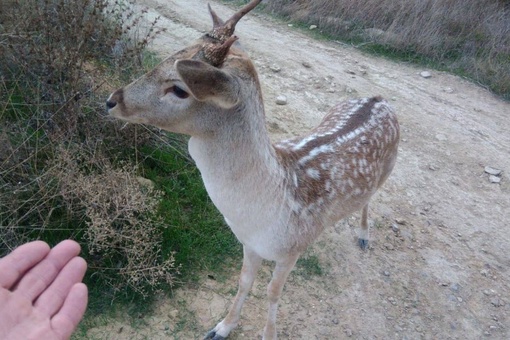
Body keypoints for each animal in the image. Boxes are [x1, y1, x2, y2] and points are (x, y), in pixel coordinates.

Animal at [106, 1, 398, 338]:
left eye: (180, 89)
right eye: (170, 55)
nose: (112, 100)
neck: (265, 212)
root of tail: (380, 98)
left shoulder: (293, 249)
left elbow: (273, 292)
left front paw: (268, 333)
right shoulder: (249, 243)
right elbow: (244, 281)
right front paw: (221, 327)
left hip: (389, 169)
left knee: (370, 198)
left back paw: (364, 236)